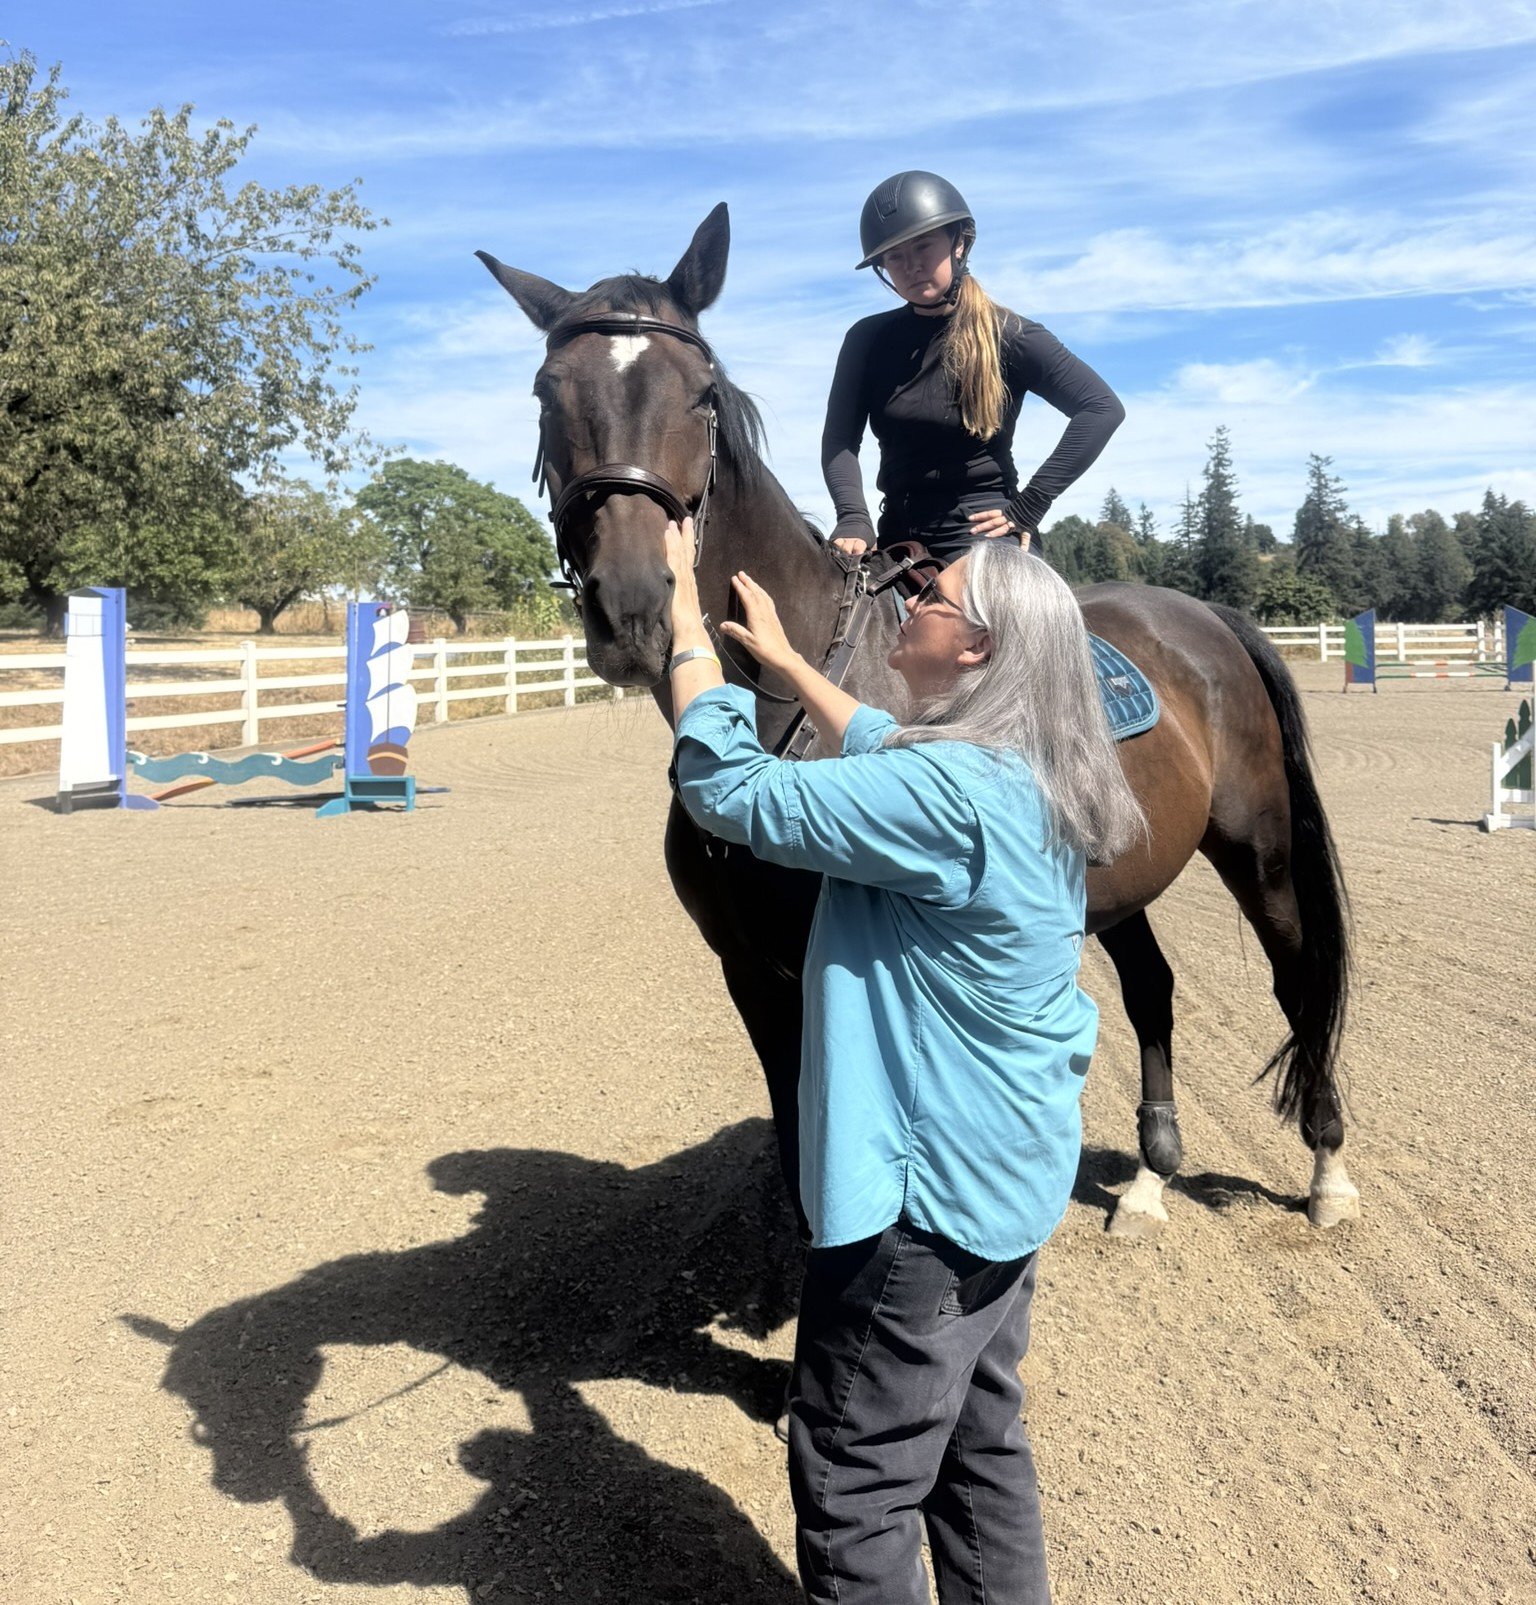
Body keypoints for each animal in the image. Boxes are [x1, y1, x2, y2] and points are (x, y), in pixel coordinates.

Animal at [476, 203, 1359, 1239]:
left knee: (1297, 978)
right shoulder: (750, 973)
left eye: (701, 396)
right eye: (548, 395)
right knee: (1153, 989)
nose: (634, 609)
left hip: (1260, 851)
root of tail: (1207, 616)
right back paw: (1149, 1177)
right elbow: (798, 1153)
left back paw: (1327, 1170)